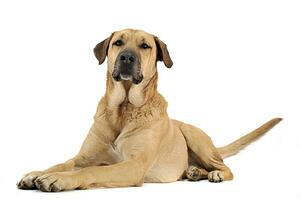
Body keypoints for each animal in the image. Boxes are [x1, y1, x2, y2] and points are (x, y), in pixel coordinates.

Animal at [17, 28, 282, 191]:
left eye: (145, 46)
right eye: (118, 43)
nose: (126, 57)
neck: (123, 109)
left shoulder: (133, 166)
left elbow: (91, 172)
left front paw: (58, 179)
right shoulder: (82, 157)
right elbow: (62, 163)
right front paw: (38, 173)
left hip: (195, 136)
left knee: (225, 167)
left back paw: (213, 174)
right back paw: (195, 172)